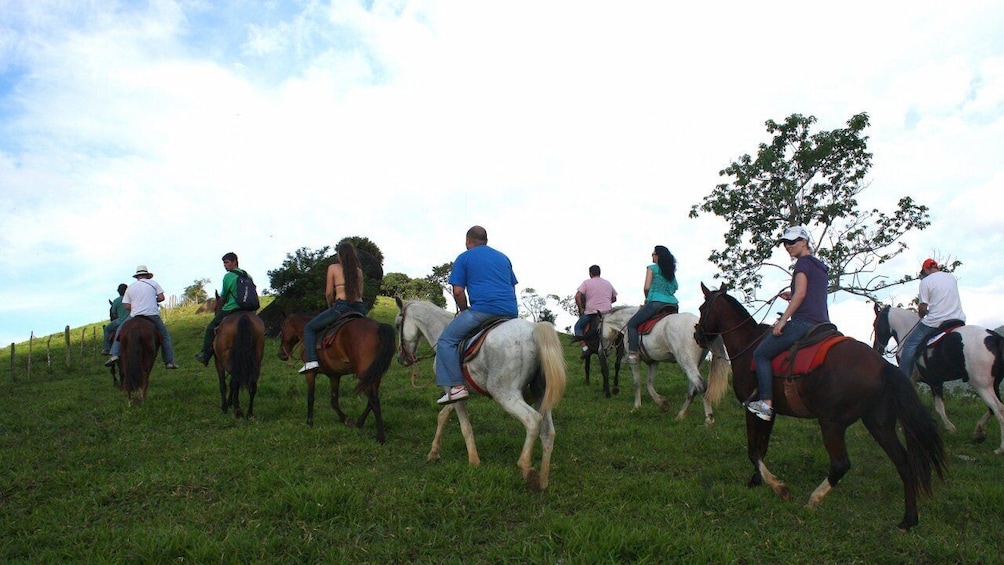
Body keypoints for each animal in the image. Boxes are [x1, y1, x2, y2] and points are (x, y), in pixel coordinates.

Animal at [281, 311, 397, 443]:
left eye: (282, 328)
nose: (280, 354)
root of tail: (379, 327)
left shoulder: (310, 374)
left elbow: (311, 397)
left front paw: (309, 423)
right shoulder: (334, 375)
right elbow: (334, 400)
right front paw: (345, 419)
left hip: (365, 375)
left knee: (374, 401)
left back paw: (380, 437)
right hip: (374, 376)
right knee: (372, 401)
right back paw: (359, 423)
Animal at [391, 301, 566, 491]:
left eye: (398, 325)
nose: (401, 359)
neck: (441, 330)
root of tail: (534, 330)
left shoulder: (450, 388)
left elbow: (465, 426)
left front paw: (474, 461)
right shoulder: (455, 393)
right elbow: (443, 415)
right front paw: (434, 453)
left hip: (505, 394)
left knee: (533, 420)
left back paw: (526, 468)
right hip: (541, 396)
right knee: (548, 432)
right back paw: (543, 481)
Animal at [594, 305, 730, 425]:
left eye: (597, 330)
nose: (601, 351)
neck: (628, 320)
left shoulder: (635, 361)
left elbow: (637, 384)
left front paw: (636, 407)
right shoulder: (654, 362)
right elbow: (649, 384)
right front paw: (662, 403)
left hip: (686, 362)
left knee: (701, 385)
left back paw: (709, 419)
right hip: (695, 364)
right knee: (692, 389)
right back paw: (680, 415)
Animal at [694, 285, 943, 533]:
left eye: (702, 308)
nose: (697, 335)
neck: (749, 344)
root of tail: (883, 366)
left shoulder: (752, 408)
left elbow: (753, 451)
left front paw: (777, 486)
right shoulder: (769, 414)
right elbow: (761, 449)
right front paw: (756, 481)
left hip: (832, 424)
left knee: (841, 464)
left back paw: (813, 500)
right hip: (879, 423)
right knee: (903, 462)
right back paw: (908, 520)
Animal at [871, 305, 1003, 455]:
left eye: (875, 324)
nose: (877, 349)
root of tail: (995, 339)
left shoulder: (924, 381)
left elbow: (931, 406)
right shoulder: (934, 381)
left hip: (981, 386)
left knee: (999, 409)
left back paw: (1000, 448)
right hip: (994, 384)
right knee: (993, 409)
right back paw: (979, 431)